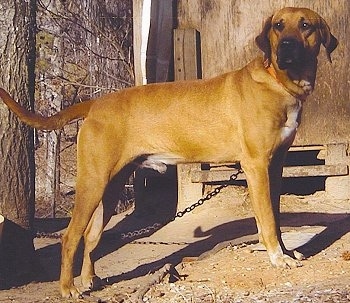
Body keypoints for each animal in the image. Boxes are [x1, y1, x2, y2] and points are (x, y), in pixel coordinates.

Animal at [0, 6, 340, 300]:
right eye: (278, 26)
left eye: (306, 25)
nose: (286, 46)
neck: (279, 81)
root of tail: (96, 103)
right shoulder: (256, 166)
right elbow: (267, 219)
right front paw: (277, 257)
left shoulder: (276, 165)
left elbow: (276, 216)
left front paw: (284, 250)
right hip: (92, 182)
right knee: (71, 236)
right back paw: (67, 288)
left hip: (110, 187)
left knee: (91, 236)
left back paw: (89, 279)